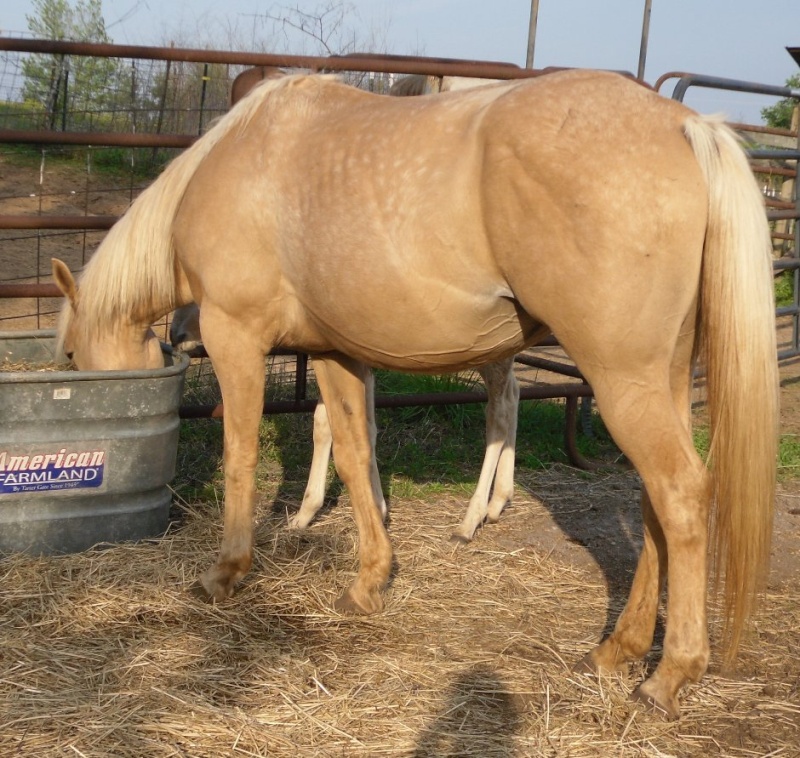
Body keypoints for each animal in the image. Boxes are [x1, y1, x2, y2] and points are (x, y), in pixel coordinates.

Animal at [51, 70, 776, 720]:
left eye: (70, 356)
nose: (181, 338)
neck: (243, 157)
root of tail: (685, 126)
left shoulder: (237, 337)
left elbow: (240, 458)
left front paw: (225, 573)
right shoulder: (336, 353)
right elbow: (351, 453)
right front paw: (368, 581)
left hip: (623, 377)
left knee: (681, 494)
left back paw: (668, 676)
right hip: (663, 377)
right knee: (655, 503)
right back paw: (618, 649)